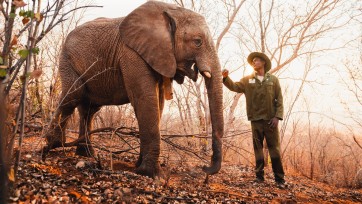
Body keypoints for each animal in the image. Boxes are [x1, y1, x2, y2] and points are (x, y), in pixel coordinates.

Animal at [44, 0, 225, 178]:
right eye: (197, 41)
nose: (205, 168)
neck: (171, 11)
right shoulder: (131, 54)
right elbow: (145, 99)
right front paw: (152, 174)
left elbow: (158, 103)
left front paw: (140, 166)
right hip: (67, 58)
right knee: (75, 93)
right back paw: (53, 145)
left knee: (89, 108)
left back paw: (85, 154)